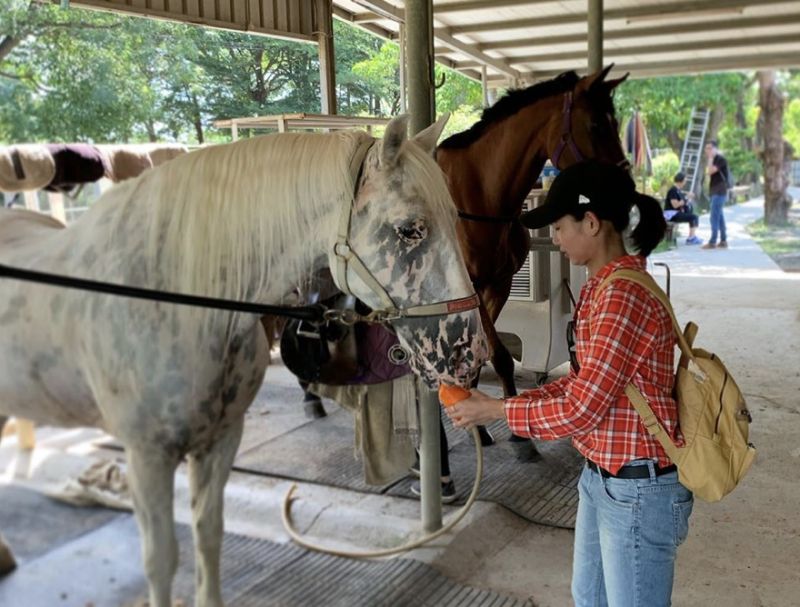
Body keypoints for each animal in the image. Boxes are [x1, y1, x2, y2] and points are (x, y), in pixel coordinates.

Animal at [0, 115, 488, 607]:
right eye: (410, 229)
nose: (469, 351)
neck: (178, 301)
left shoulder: (221, 440)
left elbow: (208, 536)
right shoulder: (146, 458)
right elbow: (161, 560)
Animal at [438, 64, 632, 406]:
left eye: (616, 122)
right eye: (595, 124)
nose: (627, 189)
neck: (476, 197)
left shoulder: (498, 285)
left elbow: (481, 355)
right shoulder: (468, 288)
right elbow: (498, 356)